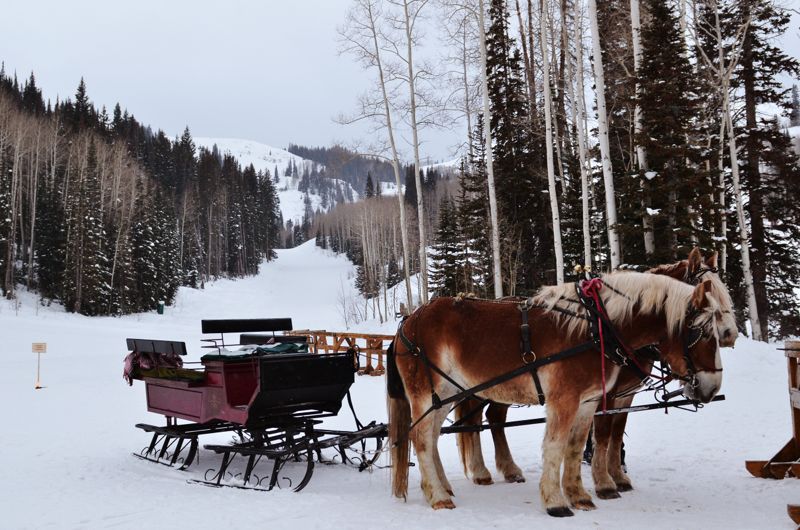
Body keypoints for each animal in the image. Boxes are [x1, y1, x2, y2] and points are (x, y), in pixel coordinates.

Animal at [388, 270, 724, 512]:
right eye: (702, 331)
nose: (713, 387)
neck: (594, 328)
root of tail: (408, 323)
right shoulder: (564, 400)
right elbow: (555, 446)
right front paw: (555, 501)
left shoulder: (589, 401)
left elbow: (575, 448)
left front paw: (579, 495)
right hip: (425, 392)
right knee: (421, 437)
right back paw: (438, 496)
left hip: (444, 395)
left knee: (432, 436)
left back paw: (440, 487)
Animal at [454, 248, 736, 490]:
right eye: (709, 294)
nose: (729, 334)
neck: (610, 329)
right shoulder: (605, 393)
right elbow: (602, 433)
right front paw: (603, 478)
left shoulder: (624, 394)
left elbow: (616, 433)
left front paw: (617, 474)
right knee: (480, 420)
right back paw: (487, 470)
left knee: (490, 418)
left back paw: (503, 469)